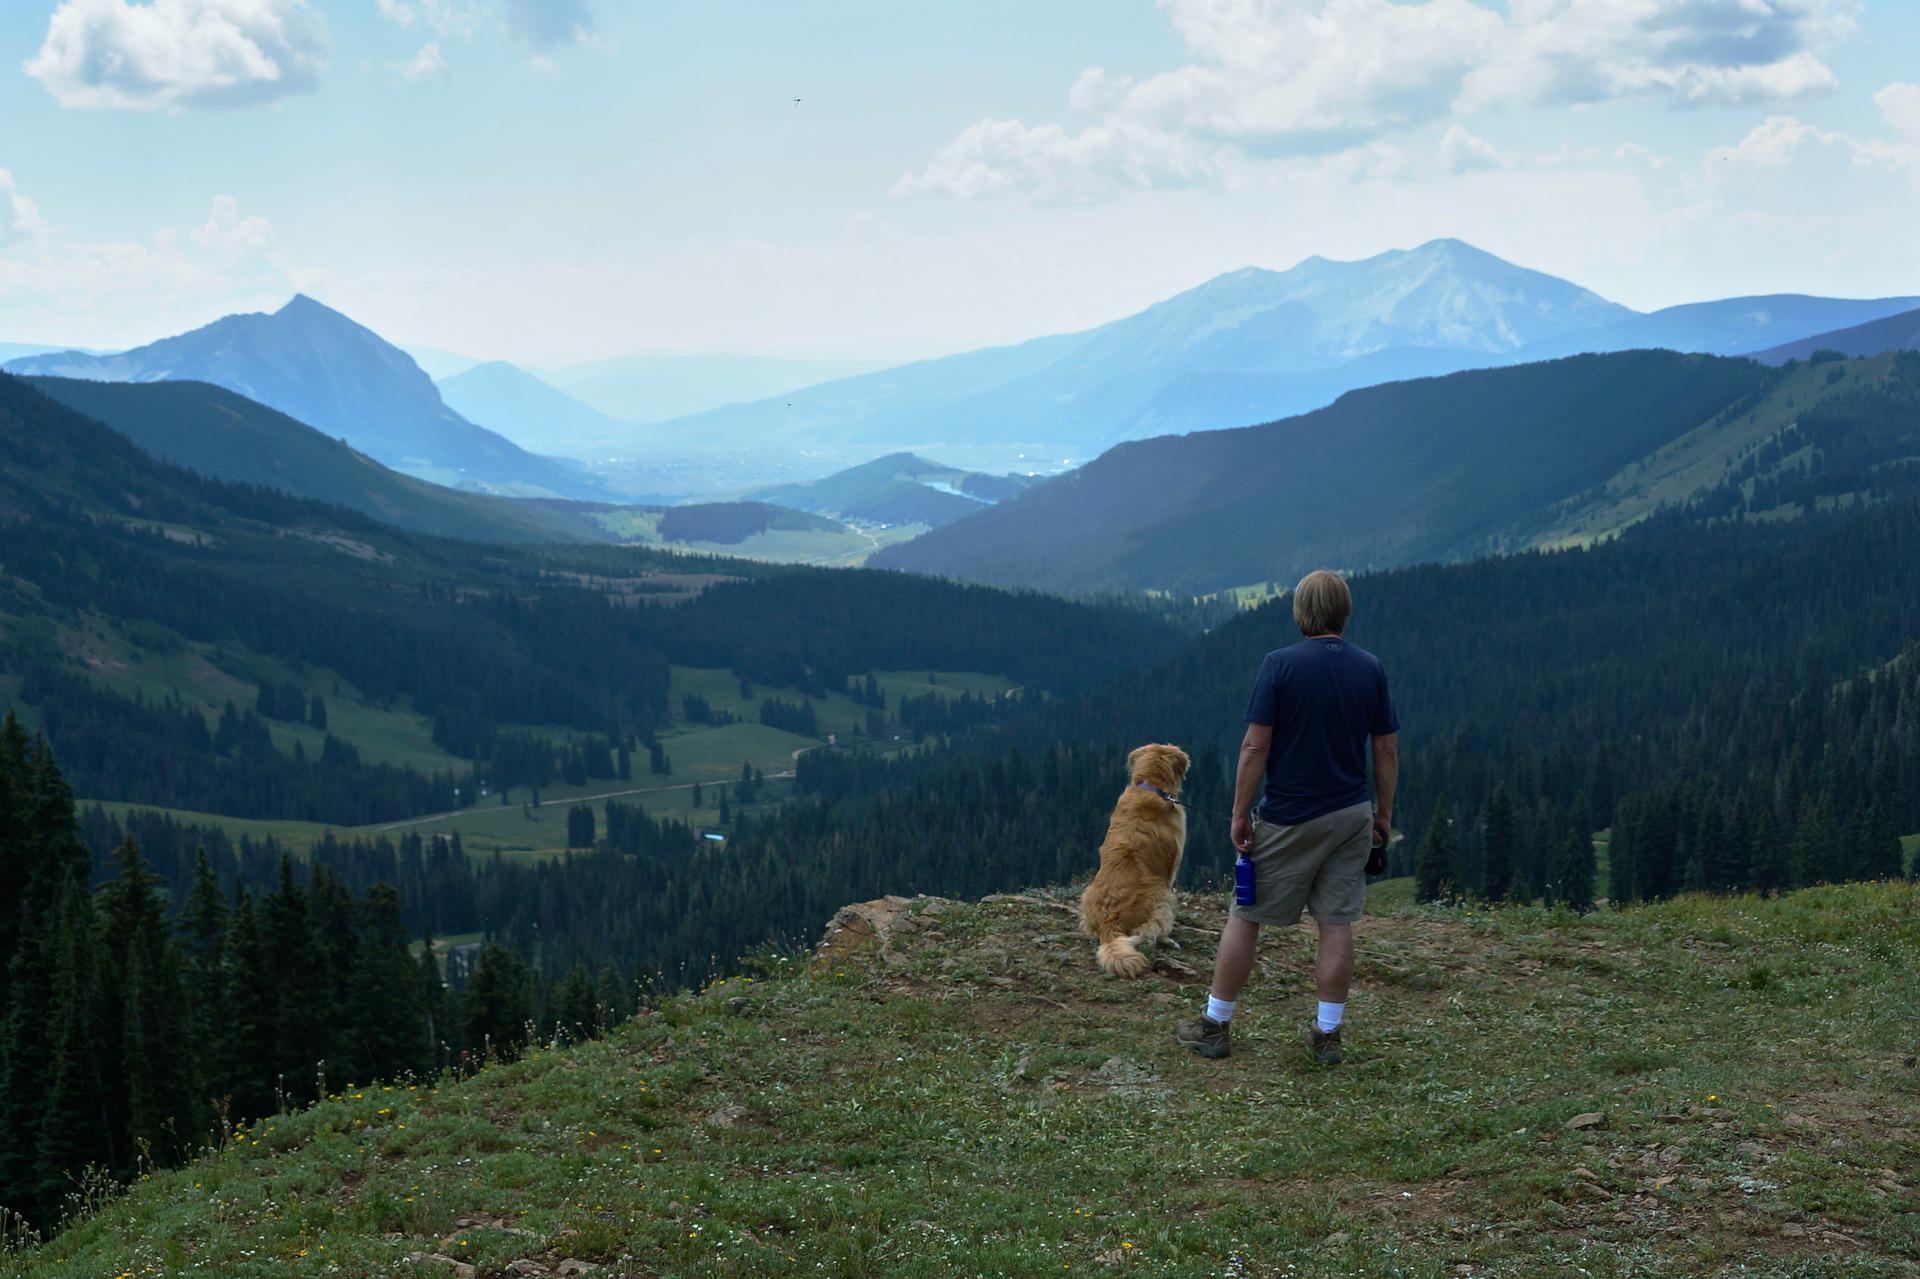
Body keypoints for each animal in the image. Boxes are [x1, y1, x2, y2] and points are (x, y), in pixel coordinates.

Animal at [1082, 737, 1182, 975]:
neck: (1151, 788)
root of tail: (1109, 925)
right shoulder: (1171, 869)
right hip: (1163, 896)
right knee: (1149, 932)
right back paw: (1167, 940)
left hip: (1086, 893)